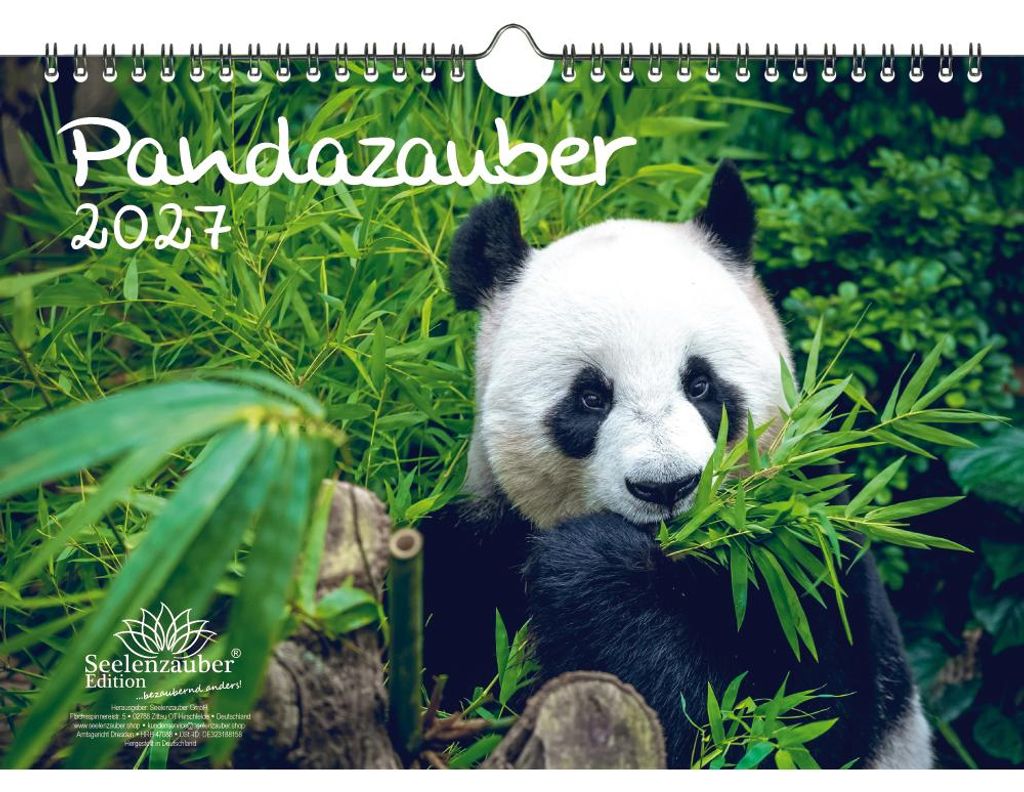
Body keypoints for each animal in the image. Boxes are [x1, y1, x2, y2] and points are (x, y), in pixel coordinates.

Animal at [419, 161, 933, 769]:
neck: (679, 557)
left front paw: (591, 565)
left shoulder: (805, 565)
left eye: (701, 384)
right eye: (590, 397)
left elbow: (777, 725)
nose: (666, 486)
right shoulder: (474, 555)